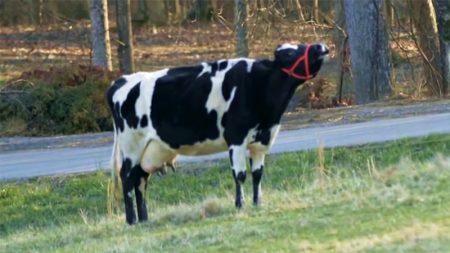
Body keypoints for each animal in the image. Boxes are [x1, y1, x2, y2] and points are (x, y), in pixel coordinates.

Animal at [107, 42, 328, 224]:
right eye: (290, 52)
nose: (320, 46)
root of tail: (121, 80)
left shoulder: (261, 141)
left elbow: (258, 174)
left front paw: (258, 203)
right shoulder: (236, 138)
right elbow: (240, 174)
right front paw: (240, 205)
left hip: (149, 150)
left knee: (141, 181)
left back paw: (144, 219)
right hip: (131, 146)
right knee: (127, 178)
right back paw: (132, 220)